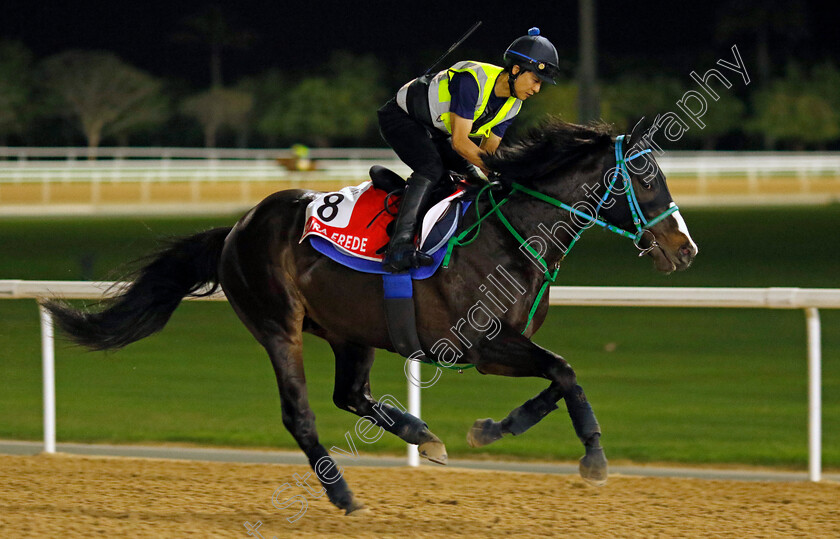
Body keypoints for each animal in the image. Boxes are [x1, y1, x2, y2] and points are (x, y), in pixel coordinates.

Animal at [49, 120, 700, 516]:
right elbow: (564, 373)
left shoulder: (499, 346)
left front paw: (489, 430)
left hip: (351, 332)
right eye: (645, 177)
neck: (512, 234)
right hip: (277, 325)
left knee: (352, 395)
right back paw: (343, 495)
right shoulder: (479, 345)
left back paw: (423, 436)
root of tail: (236, 227)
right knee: (301, 414)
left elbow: (557, 378)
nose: (685, 248)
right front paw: (593, 458)